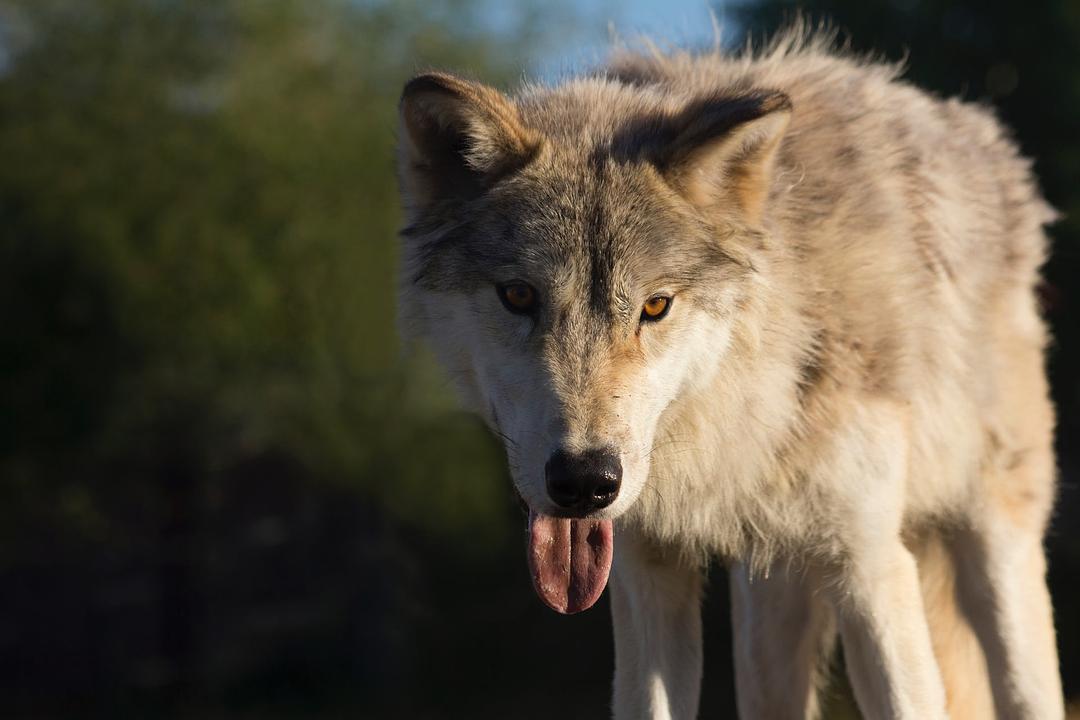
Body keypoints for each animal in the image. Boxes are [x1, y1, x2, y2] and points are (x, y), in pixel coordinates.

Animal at [395, 29, 1062, 720]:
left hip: (995, 559)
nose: (584, 482)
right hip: (770, 609)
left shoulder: (872, 566)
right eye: (520, 295)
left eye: (655, 305)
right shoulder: (646, 569)